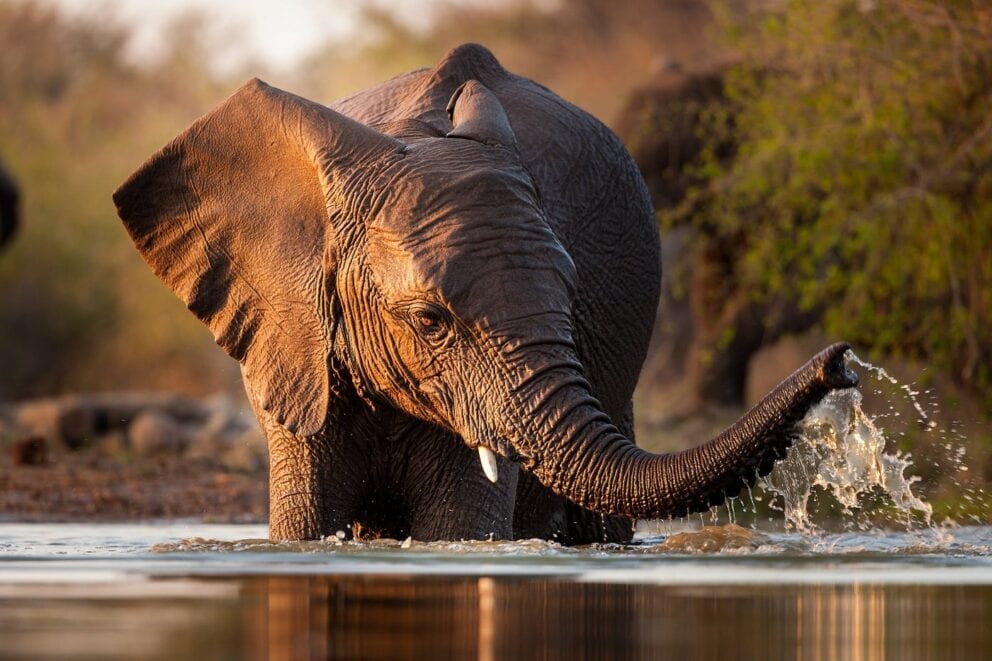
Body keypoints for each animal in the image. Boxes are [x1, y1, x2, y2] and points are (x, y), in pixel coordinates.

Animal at [114, 44, 856, 544]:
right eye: (429, 320)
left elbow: (458, 529)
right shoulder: (299, 348)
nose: (842, 362)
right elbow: (303, 525)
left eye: (571, 297)